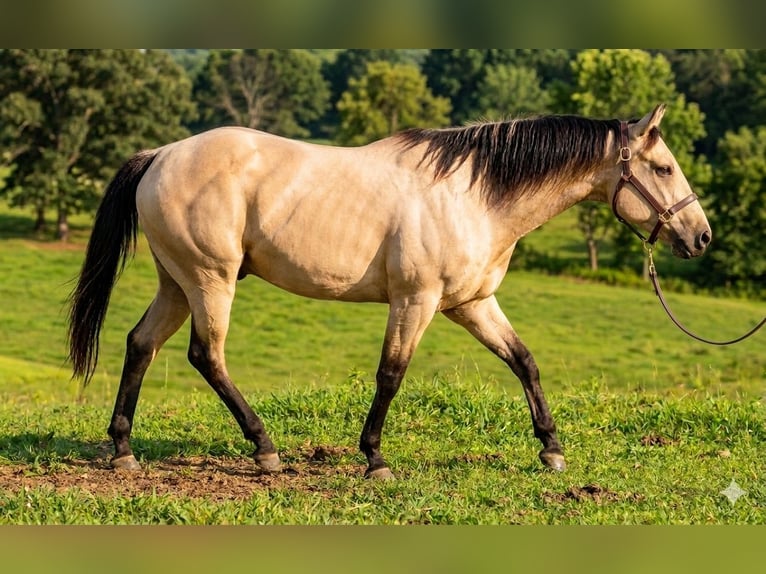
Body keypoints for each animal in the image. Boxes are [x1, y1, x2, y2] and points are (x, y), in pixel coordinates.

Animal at [67, 104, 711, 479]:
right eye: (662, 168)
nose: (700, 236)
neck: (473, 195)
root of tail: (160, 156)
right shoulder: (416, 301)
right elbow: (391, 374)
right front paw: (374, 457)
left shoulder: (471, 304)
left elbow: (524, 361)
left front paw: (550, 449)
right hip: (209, 280)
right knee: (207, 356)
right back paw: (264, 448)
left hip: (177, 282)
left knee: (140, 344)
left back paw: (123, 450)